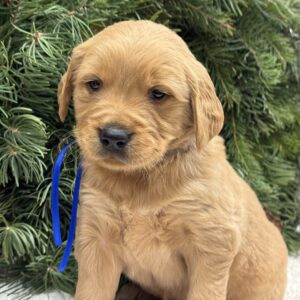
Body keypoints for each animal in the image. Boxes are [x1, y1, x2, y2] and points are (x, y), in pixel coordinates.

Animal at [56, 19, 288, 298]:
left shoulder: (212, 243)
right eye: (94, 84)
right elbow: (92, 291)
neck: (143, 177)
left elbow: (204, 292)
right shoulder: (97, 238)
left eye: (158, 94)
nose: (113, 136)